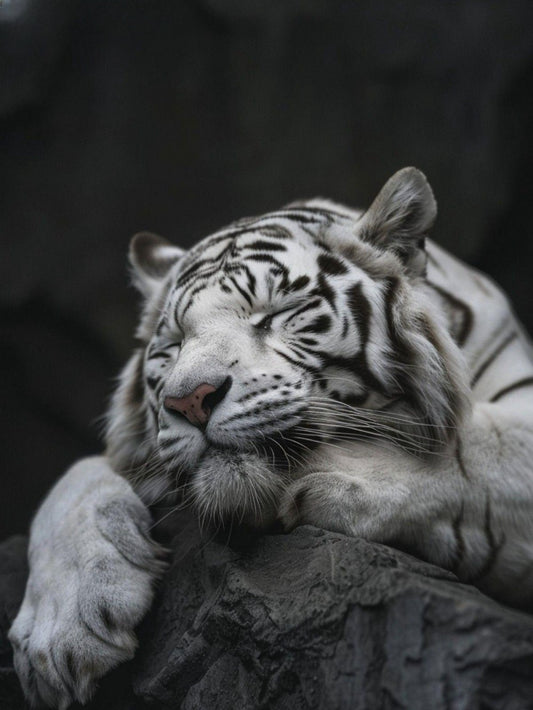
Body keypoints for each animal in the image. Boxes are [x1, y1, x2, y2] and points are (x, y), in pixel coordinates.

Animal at [9, 168, 533, 709]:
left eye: (277, 314)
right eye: (174, 343)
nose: (189, 399)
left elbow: (475, 446)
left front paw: (332, 477)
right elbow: (75, 477)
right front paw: (61, 632)